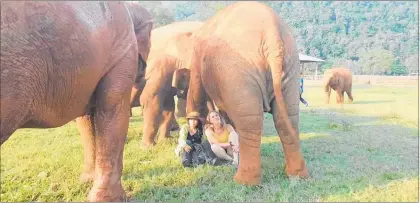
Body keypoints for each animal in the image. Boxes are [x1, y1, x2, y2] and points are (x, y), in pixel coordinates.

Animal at [0, 1, 153, 201]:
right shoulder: (122, 49)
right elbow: (112, 108)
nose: (143, 73)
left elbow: (87, 118)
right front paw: (110, 199)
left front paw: (87, 181)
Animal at [172, 1, 310, 186]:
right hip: (291, 67)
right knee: (287, 117)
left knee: (250, 121)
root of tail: (272, 33)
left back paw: (243, 181)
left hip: (239, 71)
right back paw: (298, 176)